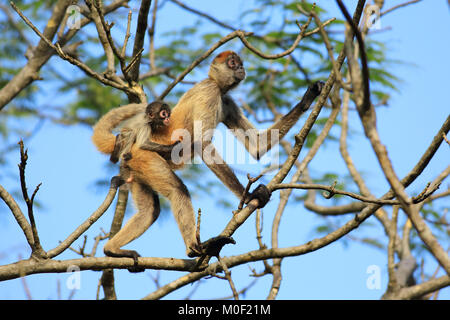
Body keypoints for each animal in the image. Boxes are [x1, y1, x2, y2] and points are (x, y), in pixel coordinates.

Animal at [92, 49, 324, 260]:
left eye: (240, 63)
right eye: (232, 63)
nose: (241, 68)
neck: (217, 88)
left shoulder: (227, 101)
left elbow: (257, 147)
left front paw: (309, 97)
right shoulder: (210, 91)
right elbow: (202, 145)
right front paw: (250, 196)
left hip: (135, 166)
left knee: (150, 211)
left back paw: (111, 249)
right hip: (146, 157)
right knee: (178, 191)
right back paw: (195, 249)